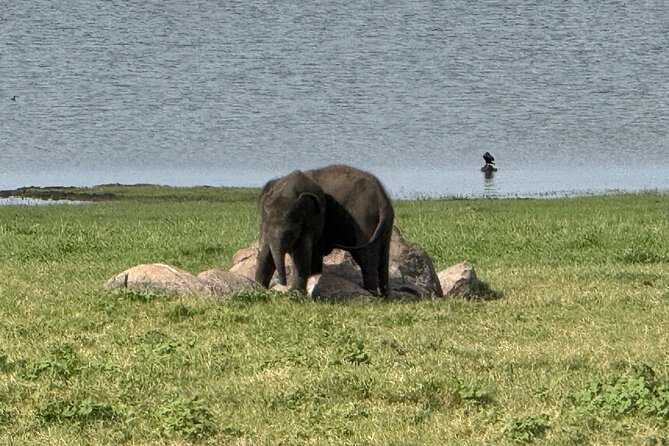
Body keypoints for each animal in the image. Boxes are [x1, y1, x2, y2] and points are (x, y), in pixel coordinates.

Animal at [305, 164, 394, 297]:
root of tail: (381, 199)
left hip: (363, 220)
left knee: (366, 257)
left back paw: (371, 293)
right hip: (385, 225)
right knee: (383, 257)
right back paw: (385, 296)